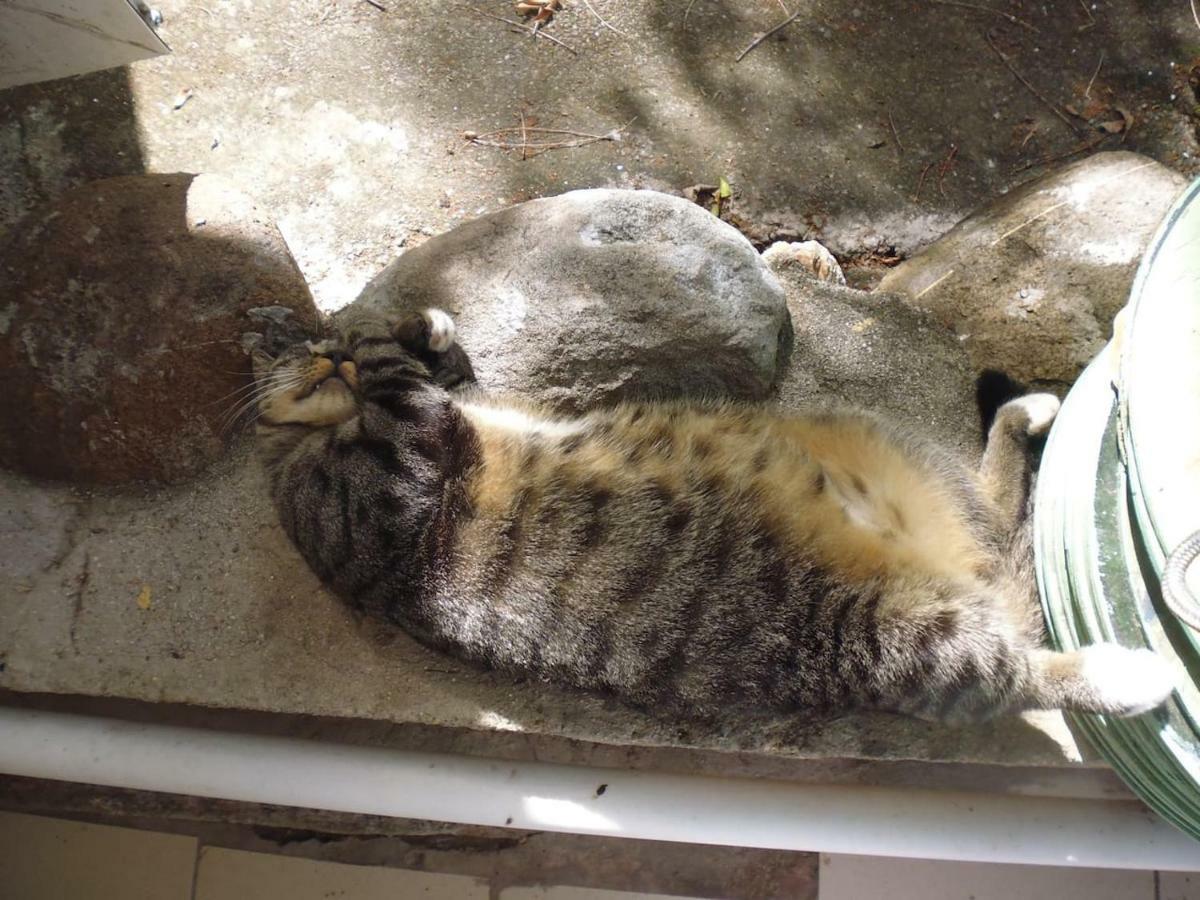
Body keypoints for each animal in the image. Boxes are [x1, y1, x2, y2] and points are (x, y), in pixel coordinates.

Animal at [253, 309, 1171, 724]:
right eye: (293, 349)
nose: (322, 347)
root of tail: (966, 574)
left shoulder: (450, 410)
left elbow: (439, 372)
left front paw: (417, 326)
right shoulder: (381, 495)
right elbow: (399, 390)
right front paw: (375, 340)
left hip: (896, 445)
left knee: (998, 497)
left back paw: (1033, 412)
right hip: (906, 638)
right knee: (1022, 675)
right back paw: (1131, 676)